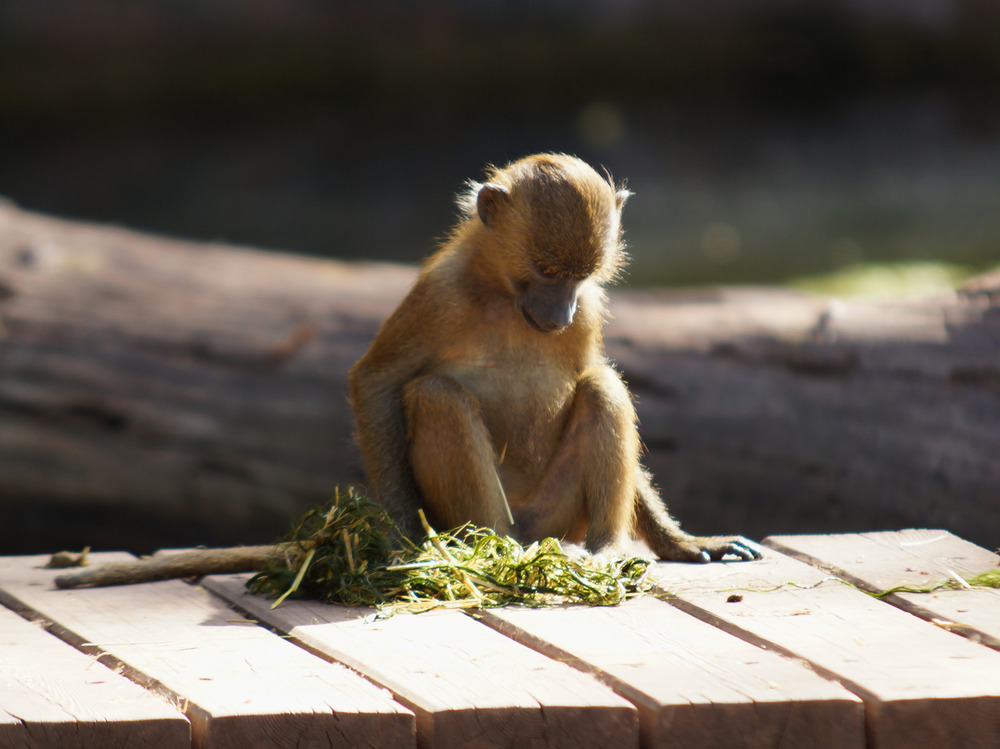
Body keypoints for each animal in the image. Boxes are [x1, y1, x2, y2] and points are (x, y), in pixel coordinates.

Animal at [350, 152, 756, 560]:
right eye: (545, 270)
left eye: (581, 276)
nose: (562, 315)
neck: (502, 294)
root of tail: (532, 535)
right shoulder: (439, 295)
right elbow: (375, 383)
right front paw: (401, 537)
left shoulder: (588, 308)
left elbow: (592, 372)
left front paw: (681, 541)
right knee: (436, 395)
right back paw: (497, 548)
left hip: (560, 516)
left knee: (600, 385)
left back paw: (607, 548)